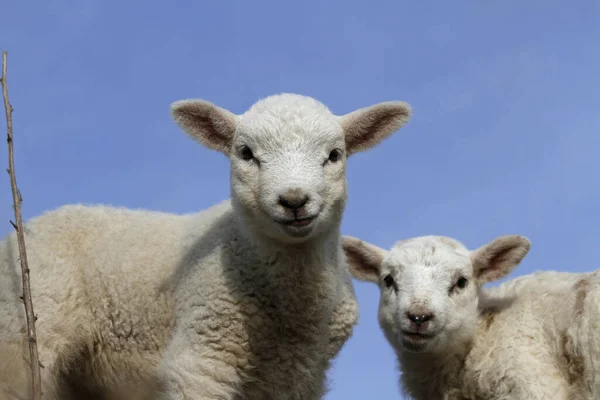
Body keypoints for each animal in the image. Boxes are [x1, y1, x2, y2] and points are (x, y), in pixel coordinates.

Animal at [0, 92, 412, 398]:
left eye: (334, 155)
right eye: (245, 153)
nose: (294, 200)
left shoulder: (300, 374)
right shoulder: (203, 356)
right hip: (27, 337)